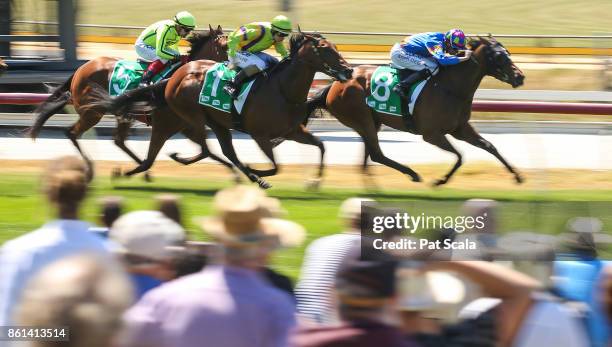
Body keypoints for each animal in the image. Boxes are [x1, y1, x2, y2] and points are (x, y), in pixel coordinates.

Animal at [26, 25, 233, 181]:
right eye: (225, 46)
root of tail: (80, 69)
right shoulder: (165, 123)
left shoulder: (185, 125)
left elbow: (210, 151)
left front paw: (234, 171)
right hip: (92, 113)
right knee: (72, 133)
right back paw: (91, 170)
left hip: (120, 115)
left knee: (118, 140)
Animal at [103, 32, 354, 189]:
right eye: (324, 49)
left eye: (336, 47)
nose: (349, 70)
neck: (283, 90)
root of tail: (175, 76)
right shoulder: (260, 134)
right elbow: (276, 166)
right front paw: (257, 170)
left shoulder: (293, 130)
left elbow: (321, 146)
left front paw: (315, 181)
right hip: (190, 117)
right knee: (205, 148)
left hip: (214, 122)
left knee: (222, 151)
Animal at [306, 36, 524, 186]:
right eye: (498, 56)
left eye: (507, 52)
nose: (520, 77)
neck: (451, 87)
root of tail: (335, 84)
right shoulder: (432, 134)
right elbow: (460, 156)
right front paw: (440, 181)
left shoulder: (460, 128)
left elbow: (489, 146)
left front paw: (517, 176)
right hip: (362, 119)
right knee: (376, 155)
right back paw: (412, 174)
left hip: (371, 122)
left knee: (369, 158)